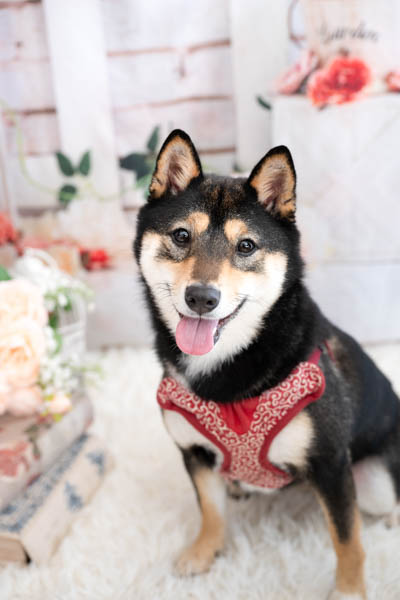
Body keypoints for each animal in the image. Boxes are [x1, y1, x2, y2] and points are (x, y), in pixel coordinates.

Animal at [134, 129, 400, 599]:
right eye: (181, 236)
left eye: (246, 246)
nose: (201, 297)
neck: (225, 375)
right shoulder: (193, 451)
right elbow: (210, 511)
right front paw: (203, 553)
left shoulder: (331, 463)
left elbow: (347, 539)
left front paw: (349, 590)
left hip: (376, 481)